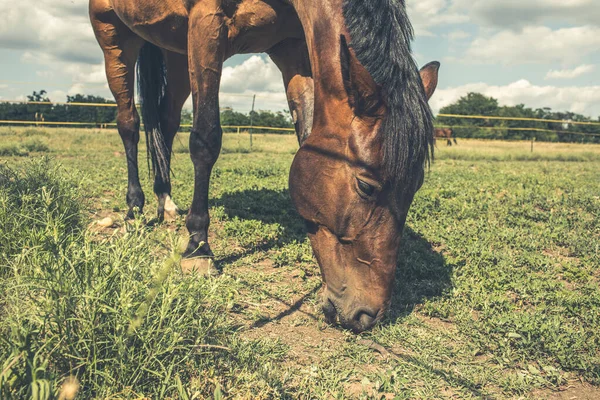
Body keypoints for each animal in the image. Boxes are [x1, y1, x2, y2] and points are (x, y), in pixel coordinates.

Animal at [92, 0, 440, 332]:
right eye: (366, 186)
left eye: (416, 186)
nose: (368, 315)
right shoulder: (206, 22)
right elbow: (205, 139)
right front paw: (198, 248)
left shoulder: (291, 47)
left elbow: (305, 131)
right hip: (113, 34)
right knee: (129, 124)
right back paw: (134, 210)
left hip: (175, 51)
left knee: (165, 122)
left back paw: (165, 202)